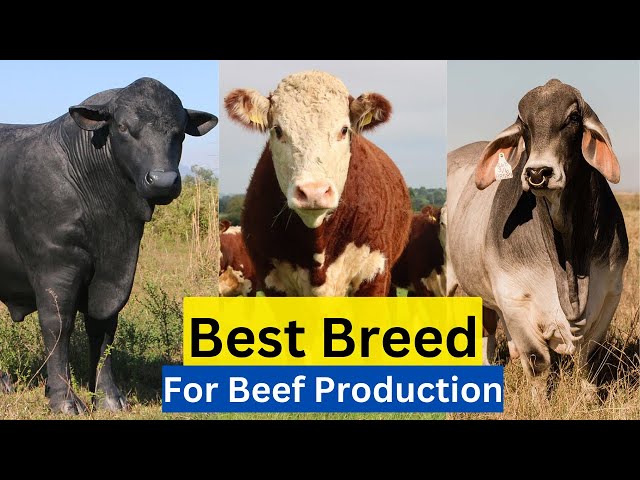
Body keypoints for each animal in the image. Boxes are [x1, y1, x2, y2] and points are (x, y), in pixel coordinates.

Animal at [0, 77, 218, 414]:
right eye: (124, 127)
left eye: (180, 132)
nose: (163, 181)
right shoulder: (55, 266)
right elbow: (58, 326)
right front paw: (63, 400)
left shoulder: (116, 273)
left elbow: (103, 328)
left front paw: (109, 397)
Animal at [447, 79, 628, 393]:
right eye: (524, 124)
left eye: (573, 118)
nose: (538, 172)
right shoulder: (514, 300)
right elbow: (537, 361)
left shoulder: (610, 291)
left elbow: (588, 360)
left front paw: (588, 396)